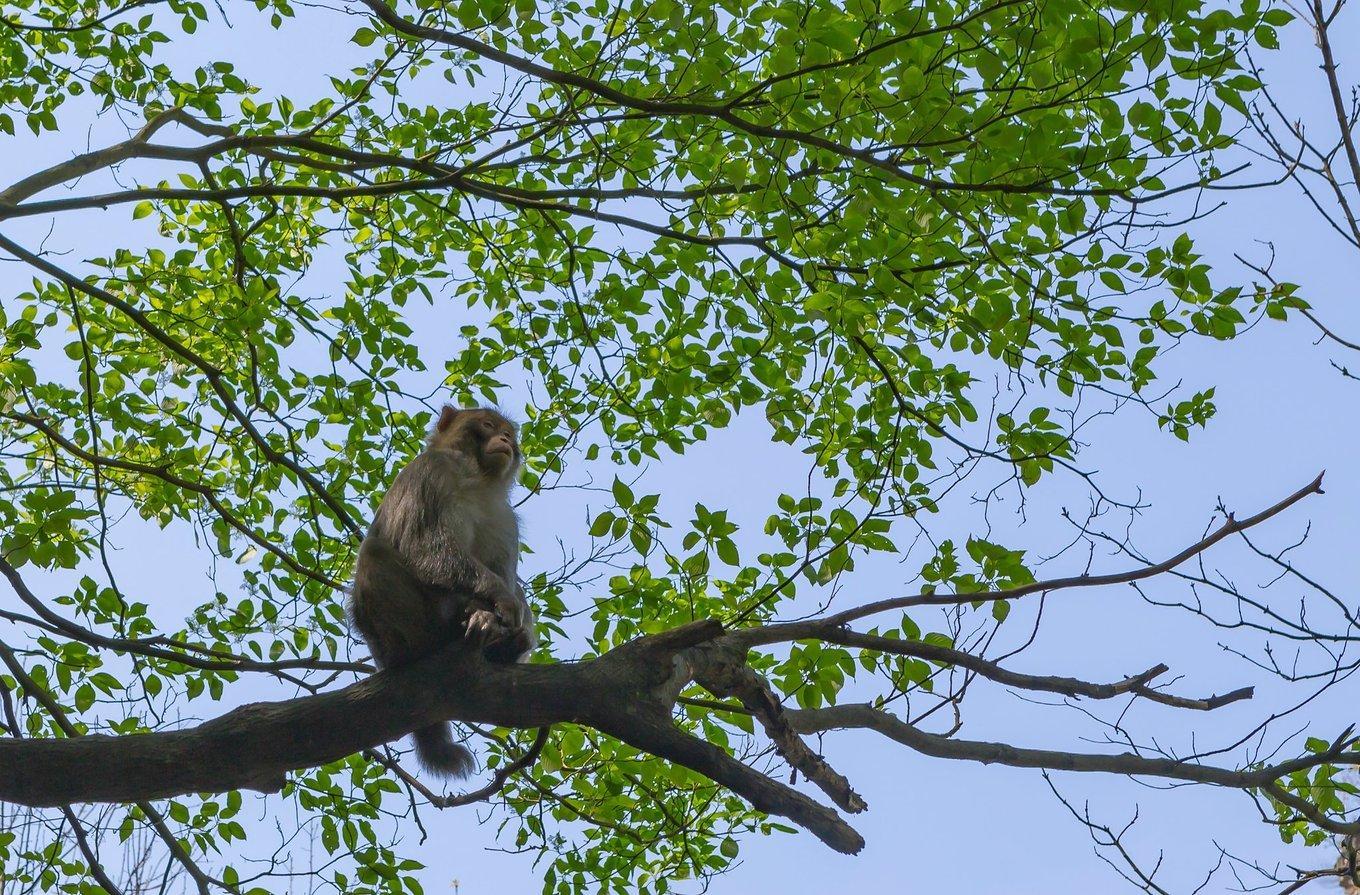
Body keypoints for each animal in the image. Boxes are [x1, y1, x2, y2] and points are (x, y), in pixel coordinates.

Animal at [350, 405, 535, 772]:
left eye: (509, 433)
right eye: (488, 425)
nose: (506, 440)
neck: (477, 478)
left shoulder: (505, 516)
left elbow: (507, 574)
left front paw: (500, 619)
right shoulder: (431, 471)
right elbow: (425, 546)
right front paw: (498, 601)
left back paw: (503, 645)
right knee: (374, 553)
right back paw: (424, 647)